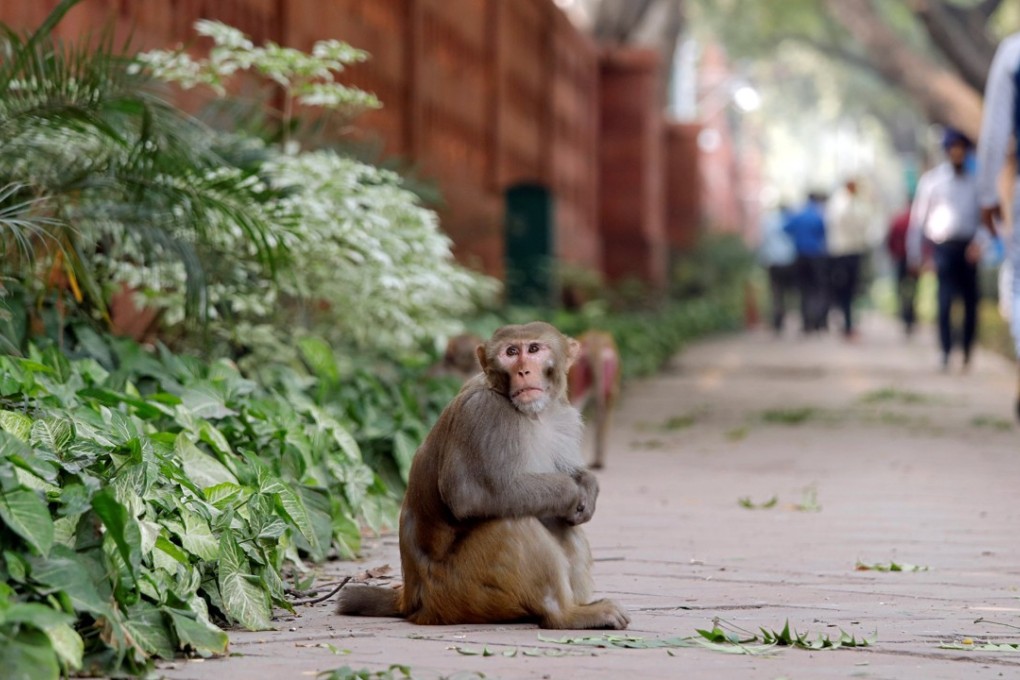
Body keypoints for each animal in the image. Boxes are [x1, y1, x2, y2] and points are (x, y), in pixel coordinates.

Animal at [337, 321, 629, 630]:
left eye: (534, 349)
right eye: (511, 352)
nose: (523, 371)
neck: (531, 414)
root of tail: (411, 598)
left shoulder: (564, 417)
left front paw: (587, 486)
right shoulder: (483, 414)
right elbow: (471, 496)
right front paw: (572, 492)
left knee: (557, 523)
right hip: (461, 592)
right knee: (512, 523)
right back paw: (566, 615)